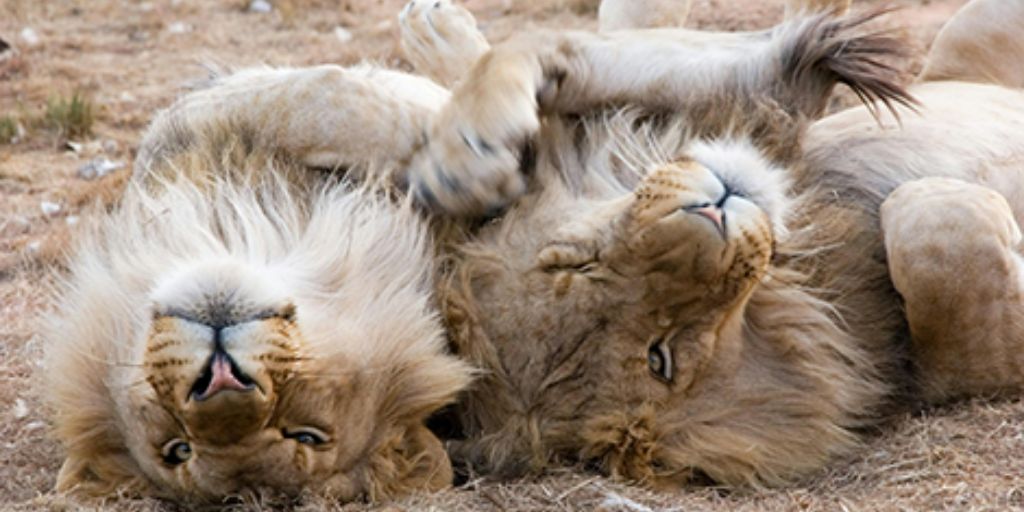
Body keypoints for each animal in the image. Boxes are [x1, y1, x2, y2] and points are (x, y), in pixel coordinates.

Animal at [397, 0, 1024, 488]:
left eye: (574, 264)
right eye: (661, 358)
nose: (713, 211)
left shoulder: (762, 88)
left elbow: (543, 46)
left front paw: (463, 159)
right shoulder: (915, 368)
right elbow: (931, 231)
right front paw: (956, 202)